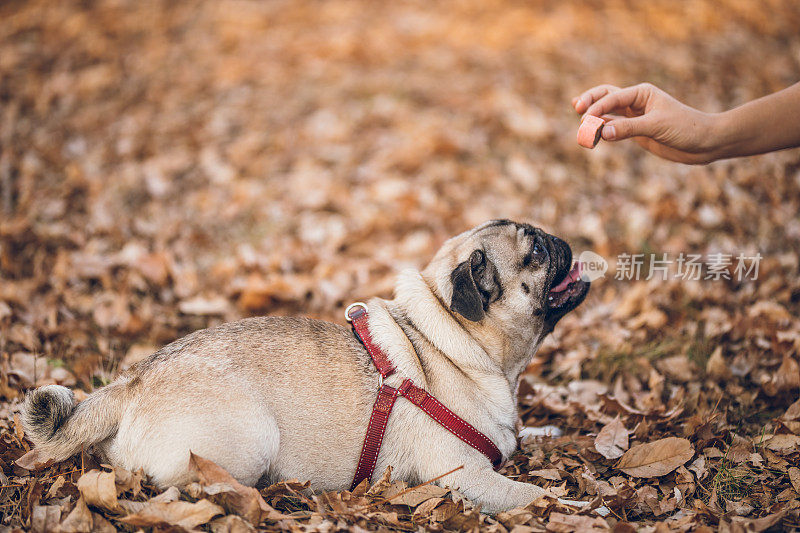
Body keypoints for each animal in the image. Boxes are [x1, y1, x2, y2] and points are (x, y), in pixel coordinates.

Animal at [21, 218, 592, 512]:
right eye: (537, 250)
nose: (559, 238)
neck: (453, 341)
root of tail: (131, 383)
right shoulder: (465, 477)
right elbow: (530, 492)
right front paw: (575, 505)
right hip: (251, 438)